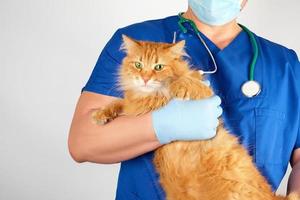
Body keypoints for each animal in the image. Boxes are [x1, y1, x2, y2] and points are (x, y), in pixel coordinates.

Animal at [92, 35, 298, 199]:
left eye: (158, 67)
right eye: (138, 65)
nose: (145, 79)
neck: (153, 98)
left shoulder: (206, 94)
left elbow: (185, 81)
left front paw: (176, 84)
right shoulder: (133, 108)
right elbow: (118, 103)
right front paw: (101, 114)